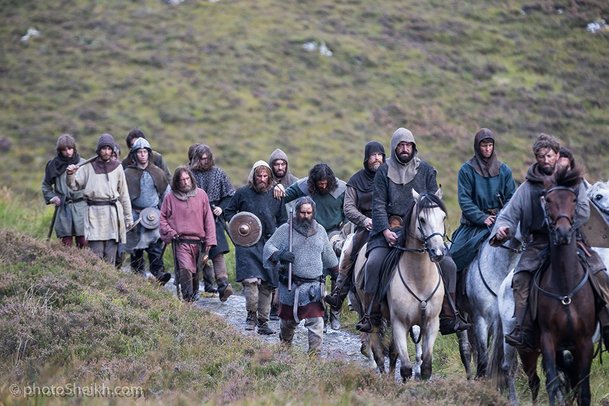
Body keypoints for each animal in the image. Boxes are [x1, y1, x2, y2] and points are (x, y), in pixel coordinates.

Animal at [388, 189, 444, 380]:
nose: (438, 252)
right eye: (422, 219)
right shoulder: (398, 323)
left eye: (443, 217)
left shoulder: (432, 323)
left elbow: (427, 367)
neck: (419, 279)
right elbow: (405, 368)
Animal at [520, 167, 596, 404]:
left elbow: (583, 390)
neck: (565, 289)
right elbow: (552, 384)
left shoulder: (584, 342)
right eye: (549, 200)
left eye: (574, 200)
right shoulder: (548, 340)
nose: (563, 233)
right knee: (534, 381)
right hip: (527, 351)